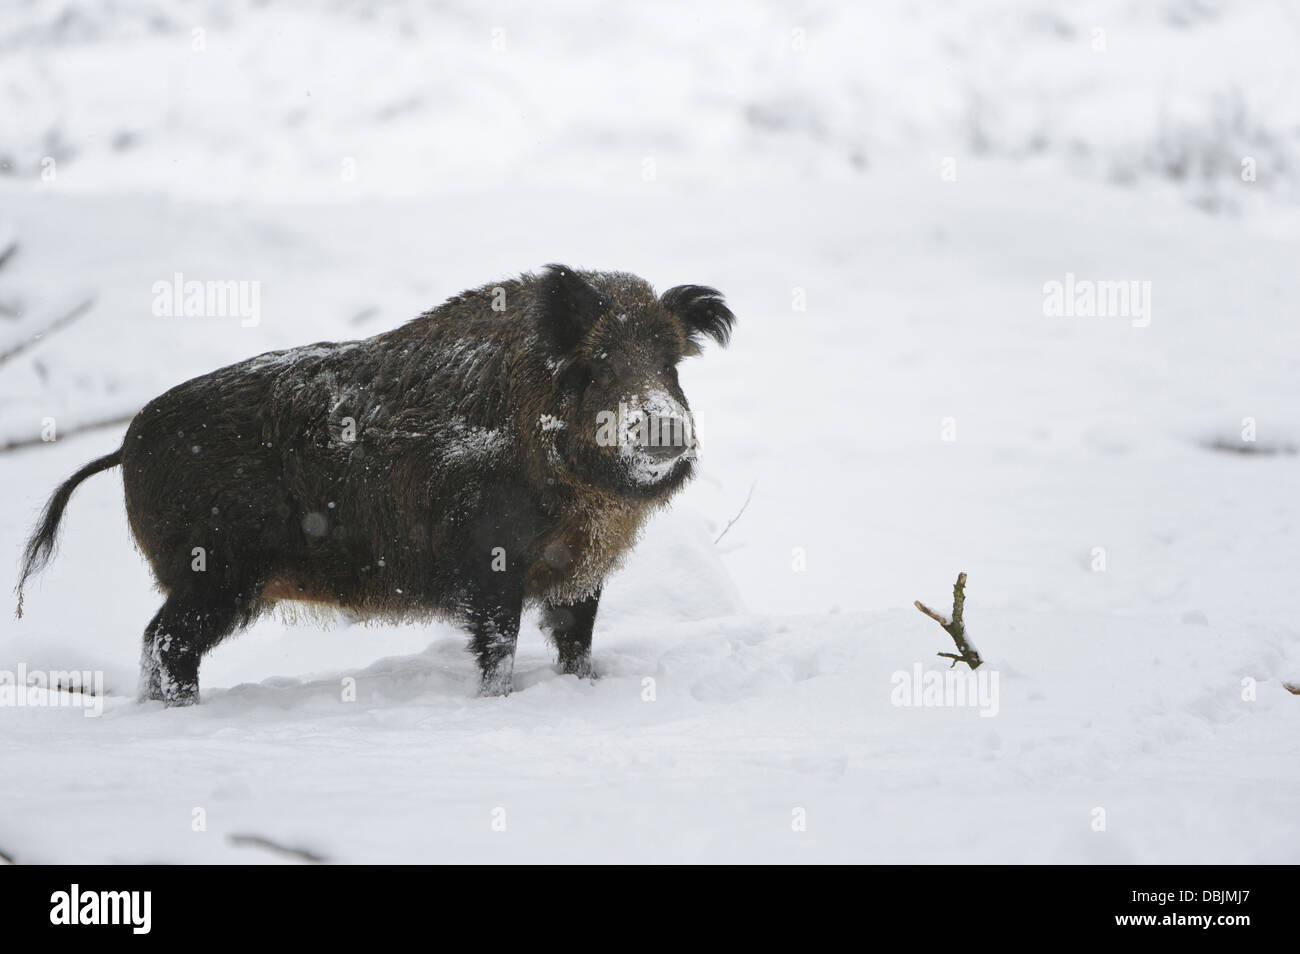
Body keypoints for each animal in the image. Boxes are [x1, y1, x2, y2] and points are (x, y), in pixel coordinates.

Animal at [15, 265, 734, 705]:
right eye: (600, 364)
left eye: (671, 363)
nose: (665, 428)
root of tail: (126, 443)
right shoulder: (489, 563)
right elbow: (498, 645)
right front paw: (497, 701)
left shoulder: (581, 571)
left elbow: (577, 644)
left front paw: (584, 687)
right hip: (209, 573)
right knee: (164, 644)